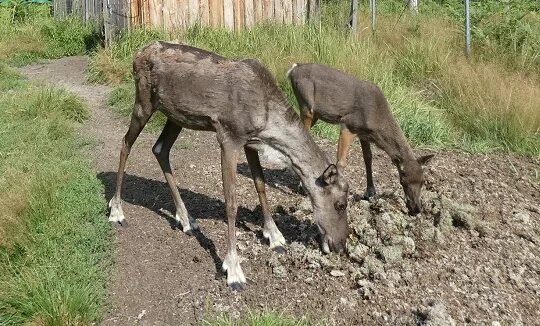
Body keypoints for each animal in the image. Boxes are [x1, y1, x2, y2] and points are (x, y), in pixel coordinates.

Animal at [108, 42, 350, 290]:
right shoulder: (229, 138)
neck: (268, 123)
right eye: (341, 204)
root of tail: (138, 54)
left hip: (175, 116)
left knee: (160, 149)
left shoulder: (250, 142)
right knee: (125, 143)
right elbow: (231, 203)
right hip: (144, 101)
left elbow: (260, 185)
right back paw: (117, 210)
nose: (341, 245)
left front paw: (275, 237)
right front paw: (233, 269)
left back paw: (186, 219)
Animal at [286, 63, 434, 216]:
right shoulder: (349, 125)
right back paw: (301, 185)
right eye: (402, 181)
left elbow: (368, 158)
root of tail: (293, 69)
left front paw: (370, 192)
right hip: (306, 105)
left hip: (314, 113)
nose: (416, 208)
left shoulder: (363, 133)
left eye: (423, 181)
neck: (376, 121)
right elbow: (341, 161)